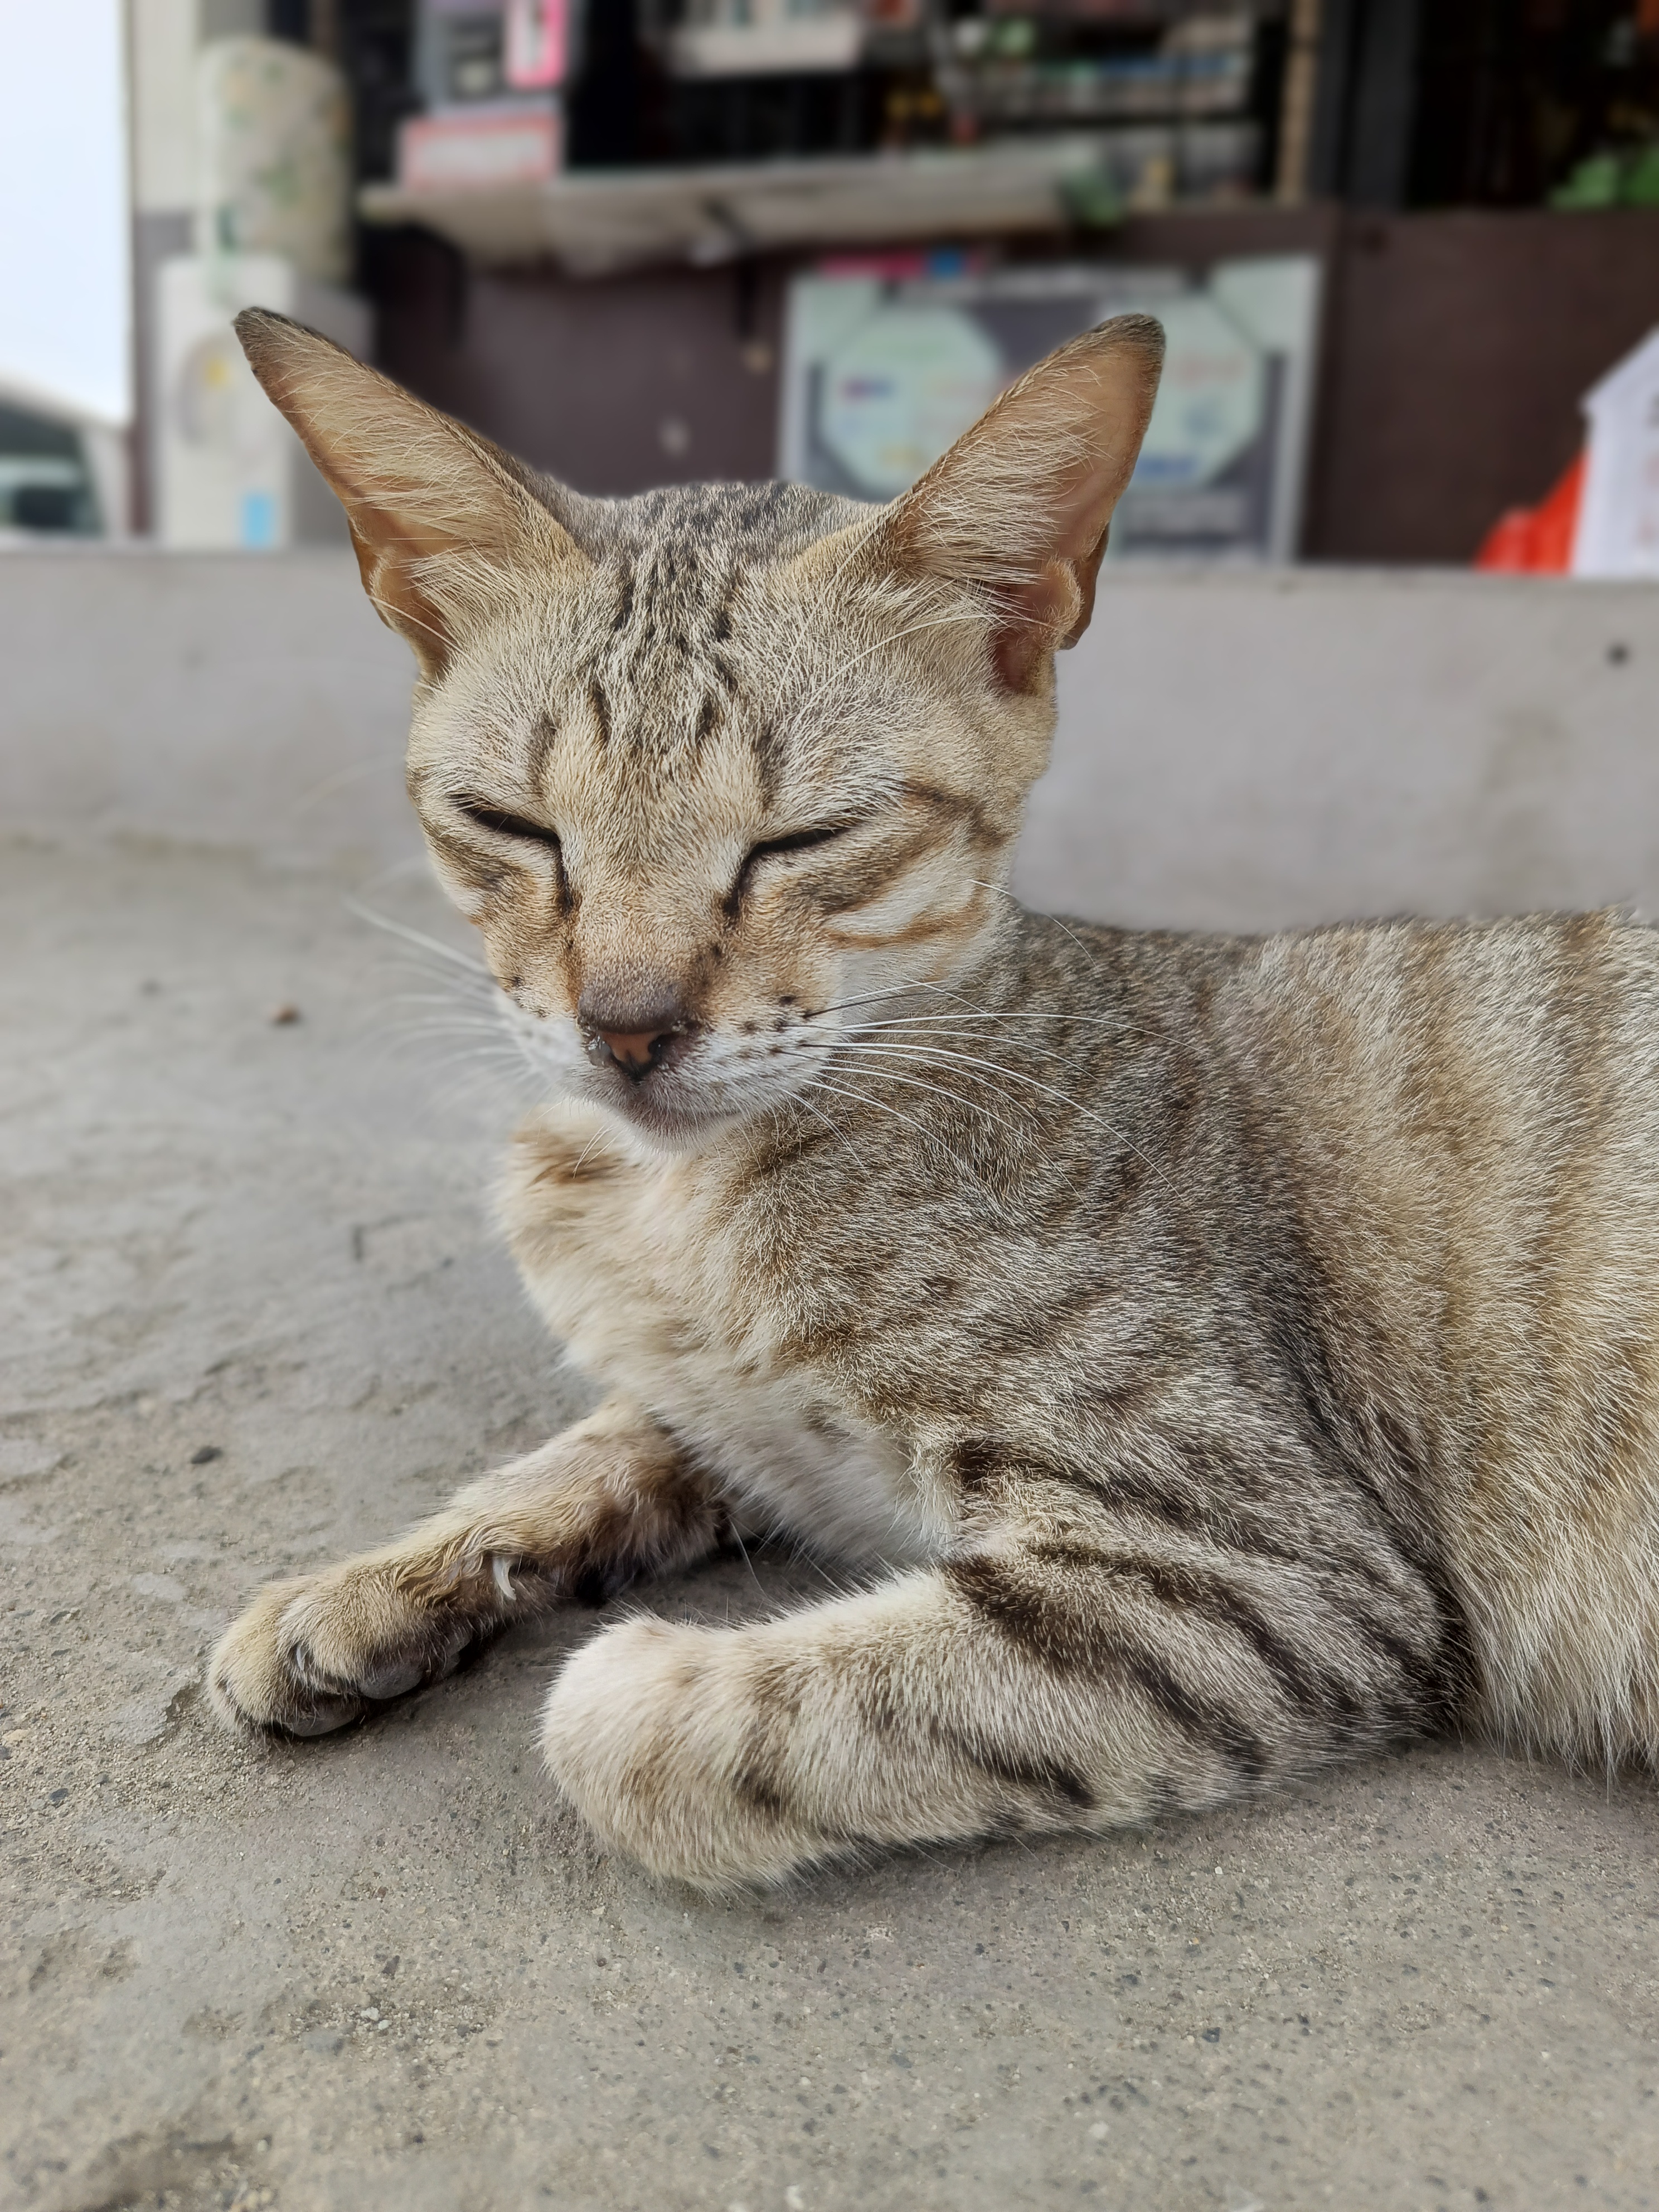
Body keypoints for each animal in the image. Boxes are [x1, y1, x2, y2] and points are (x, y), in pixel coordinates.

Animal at [207, 298, 1659, 1884]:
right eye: (511, 824)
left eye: (803, 838)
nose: (627, 1027)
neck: (672, 1201)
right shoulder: (733, 1418)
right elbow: (600, 1440)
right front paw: (376, 1580)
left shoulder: (1266, 1566)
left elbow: (668, 1725)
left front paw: (626, 1672)